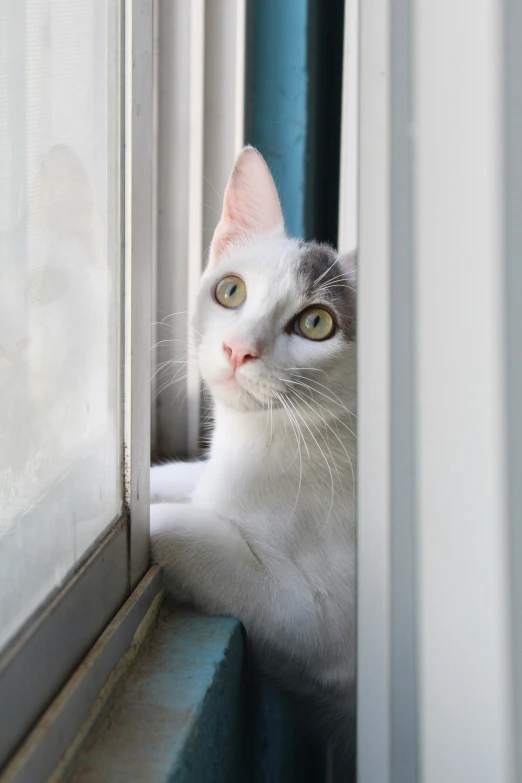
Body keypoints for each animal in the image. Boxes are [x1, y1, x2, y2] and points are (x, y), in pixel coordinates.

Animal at [148, 144, 356, 764]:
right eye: (231, 291)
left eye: (317, 322)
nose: (239, 349)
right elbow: (188, 485)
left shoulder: (324, 624)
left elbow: (184, 530)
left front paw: (149, 521)